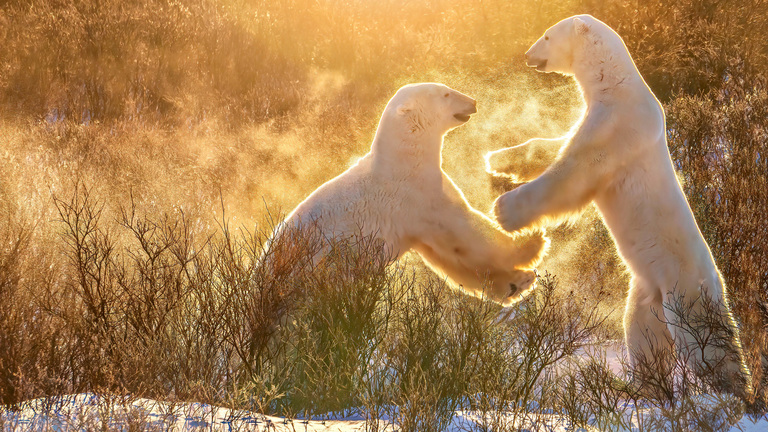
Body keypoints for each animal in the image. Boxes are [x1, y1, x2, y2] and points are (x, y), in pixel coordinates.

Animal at [270, 81, 544, 304]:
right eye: (445, 93)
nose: (473, 102)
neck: (404, 158)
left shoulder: (416, 222)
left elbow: (447, 257)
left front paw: (517, 283)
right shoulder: (418, 194)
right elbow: (465, 232)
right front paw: (532, 242)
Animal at [492, 14, 752, 392]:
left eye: (547, 35)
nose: (527, 55)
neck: (616, 84)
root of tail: (719, 283)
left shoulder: (615, 126)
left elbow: (572, 174)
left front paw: (504, 210)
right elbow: (554, 146)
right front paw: (498, 159)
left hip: (686, 290)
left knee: (706, 344)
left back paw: (732, 392)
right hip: (647, 291)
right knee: (643, 335)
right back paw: (646, 388)